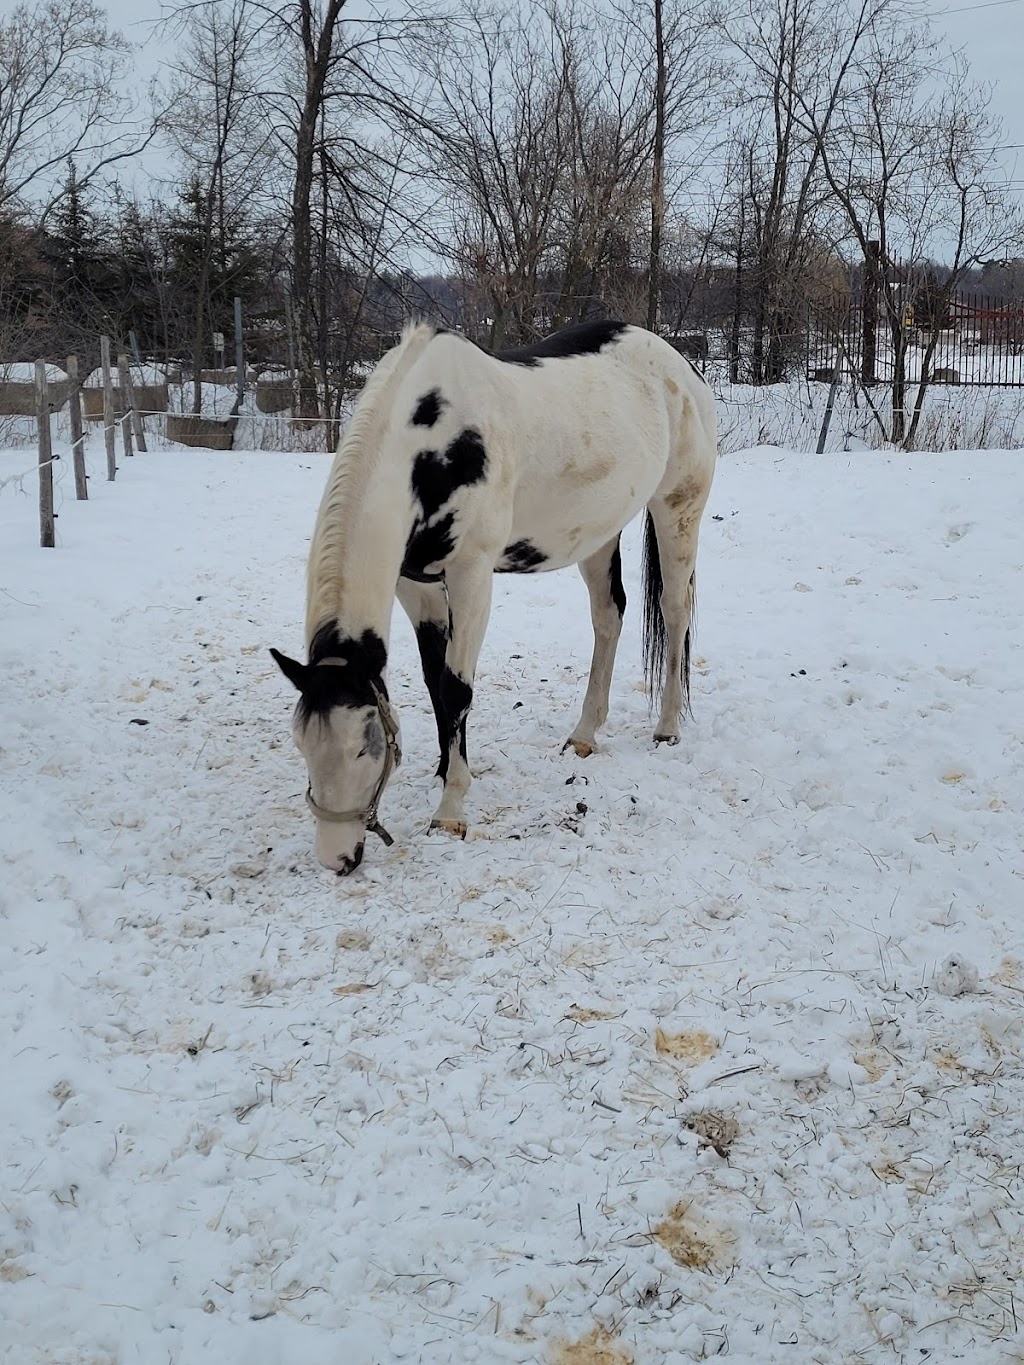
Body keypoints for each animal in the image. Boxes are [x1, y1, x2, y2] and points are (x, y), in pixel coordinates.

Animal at [273, 319, 720, 873]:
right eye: (301, 744)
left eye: (363, 746)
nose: (337, 858)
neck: (429, 448)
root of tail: (678, 363)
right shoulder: (414, 583)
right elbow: (434, 680)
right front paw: (445, 768)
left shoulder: (471, 576)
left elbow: (456, 688)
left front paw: (450, 811)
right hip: (598, 533)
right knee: (608, 616)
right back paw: (583, 735)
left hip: (678, 510)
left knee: (674, 613)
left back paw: (666, 728)